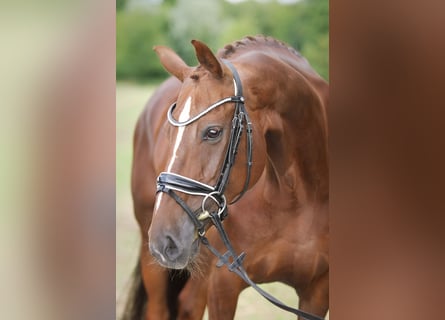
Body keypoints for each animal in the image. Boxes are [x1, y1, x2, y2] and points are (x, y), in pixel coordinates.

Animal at [123, 36, 328, 318]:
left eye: (213, 132)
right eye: (168, 133)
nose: (164, 240)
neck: (298, 197)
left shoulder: (316, 292)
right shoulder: (223, 285)